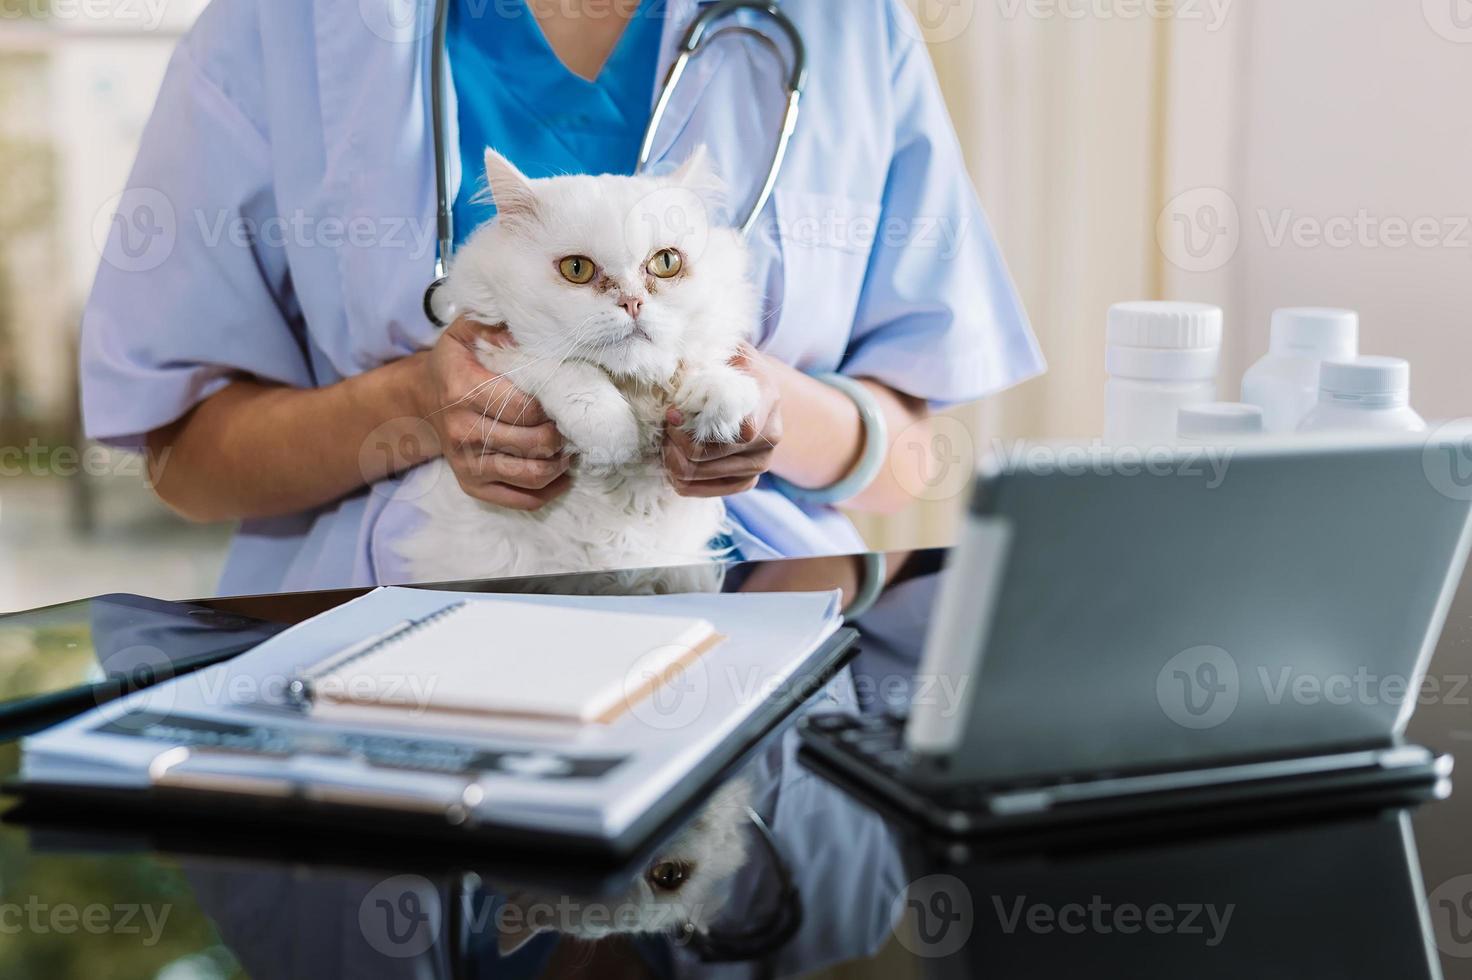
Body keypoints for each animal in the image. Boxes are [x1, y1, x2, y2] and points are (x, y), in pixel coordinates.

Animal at [391, 148, 759, 582]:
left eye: (666, 262)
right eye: (577, 269)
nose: (632, 302)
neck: (633, 390)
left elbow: (697, 365)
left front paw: (715, 399)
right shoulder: (493, 347)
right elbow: (566, 370)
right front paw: (614, 436)